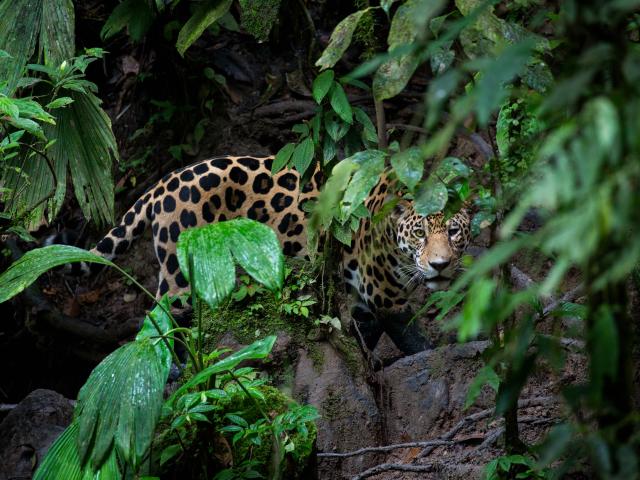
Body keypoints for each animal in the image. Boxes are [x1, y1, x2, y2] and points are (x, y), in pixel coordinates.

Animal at [73, 155, 471, 354]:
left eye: (453, 232)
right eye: (420, 233)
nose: (440, 265)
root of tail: (162, 184)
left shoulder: (364, 297)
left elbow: (366, 333)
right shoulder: (383, 292)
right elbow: (411, 336)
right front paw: (431, 352)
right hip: (181, 275)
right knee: (160, 319)